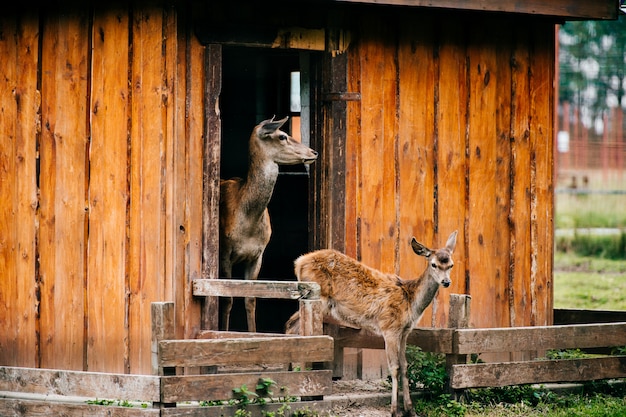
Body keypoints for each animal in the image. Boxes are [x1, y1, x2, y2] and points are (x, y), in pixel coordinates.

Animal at [219, 115, 316, 330]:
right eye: (282, 136)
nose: (314, 152)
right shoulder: (225, 253)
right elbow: (227, 297)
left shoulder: (258, 255)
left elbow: (251, 299)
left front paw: (252, 333)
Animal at [286, 231, 456, 416]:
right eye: (434, 264)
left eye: (451, 265)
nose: (446, 282)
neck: (411, 301)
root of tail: (299, 262)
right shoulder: (389, 327)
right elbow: (395, 367)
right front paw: (394, 410)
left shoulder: (404, 332)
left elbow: (405, 366)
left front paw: (410, 410)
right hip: (316, 297)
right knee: (295, 328)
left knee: (290, 328)